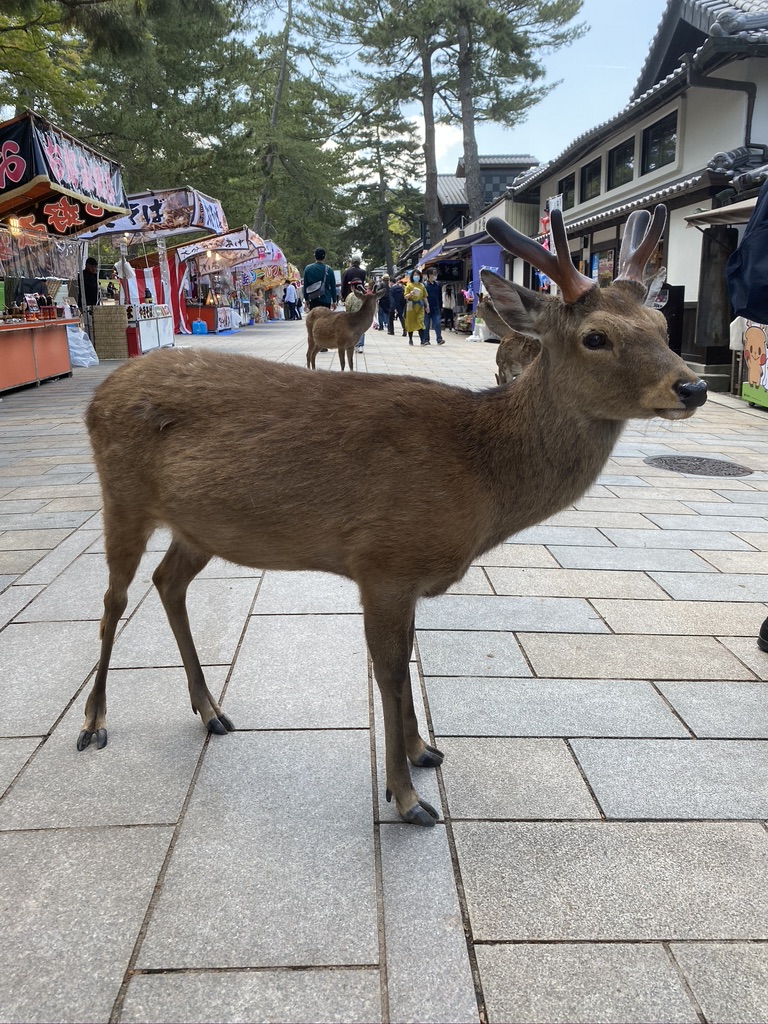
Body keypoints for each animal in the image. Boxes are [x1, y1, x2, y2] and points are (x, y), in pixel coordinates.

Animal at [78, 203, 708, 827]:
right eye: (595, 337)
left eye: (662, 326)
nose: (694, 386)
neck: (480, 475)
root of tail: (98, 396)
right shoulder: (383, 562)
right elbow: (388, 671)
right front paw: (406, 797)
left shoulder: (408, 575)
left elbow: (405, 665)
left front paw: (423, 750)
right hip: (121, 496)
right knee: (113, 600)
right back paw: (93, 722)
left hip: (198, 526)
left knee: (167, 581)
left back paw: (210, 710)